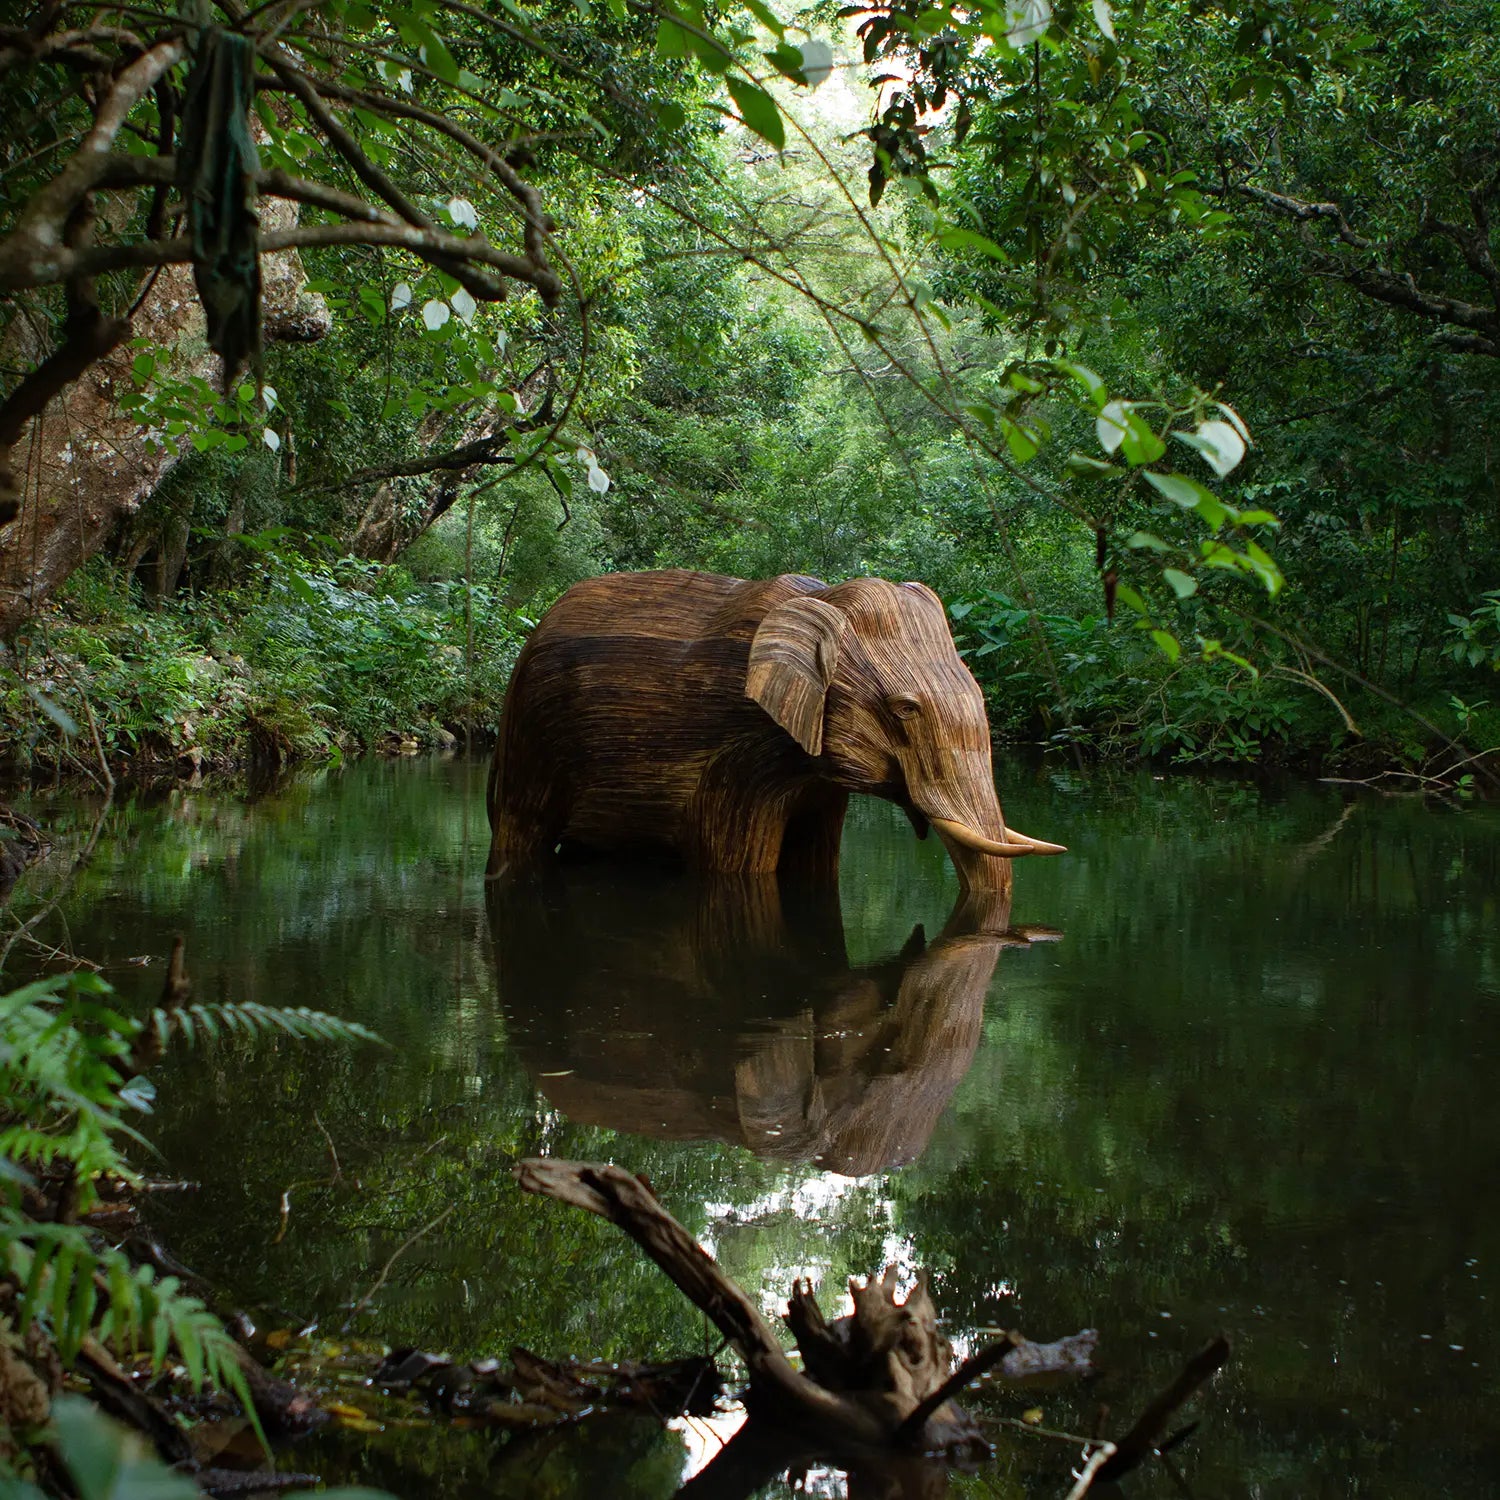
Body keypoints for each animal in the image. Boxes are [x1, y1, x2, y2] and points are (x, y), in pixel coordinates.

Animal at [485, 571, 1063, 891]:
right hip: (528, 739)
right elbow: (736, 864)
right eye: (905, 708)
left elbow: (817, 862)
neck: (823, 598)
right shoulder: (740, 756)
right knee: (521, 830)